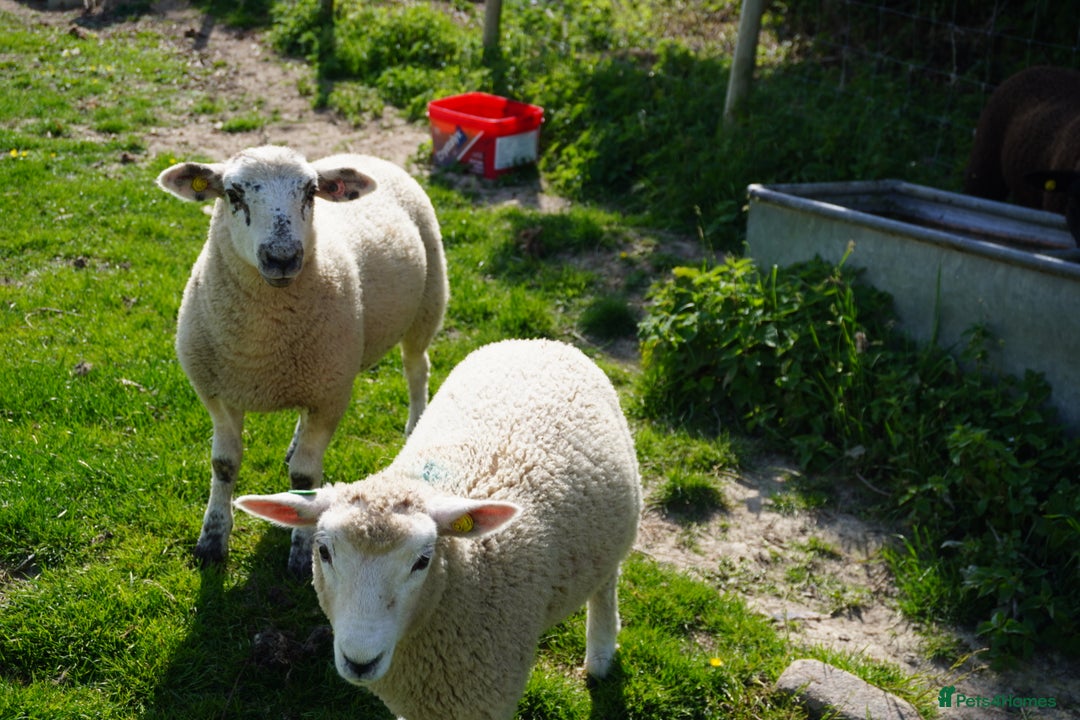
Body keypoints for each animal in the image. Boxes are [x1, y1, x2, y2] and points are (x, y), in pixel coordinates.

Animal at [157, 145, 448, 577]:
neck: (261, 350)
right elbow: (224, 464)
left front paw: (300, 555)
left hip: (428, 304)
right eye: (233, 193)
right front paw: (211, 540)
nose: (282, 257)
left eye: (310, 193)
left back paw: (414, 423)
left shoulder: (330, 395)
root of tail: (362, 154)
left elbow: (306, 473)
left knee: (417, 368)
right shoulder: (217, 393)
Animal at [233, 338, 642, 720]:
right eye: (323, 552)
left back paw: (601, 655)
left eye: (422, 560)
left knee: (606, 586)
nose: (360, 661)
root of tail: (539, 342)